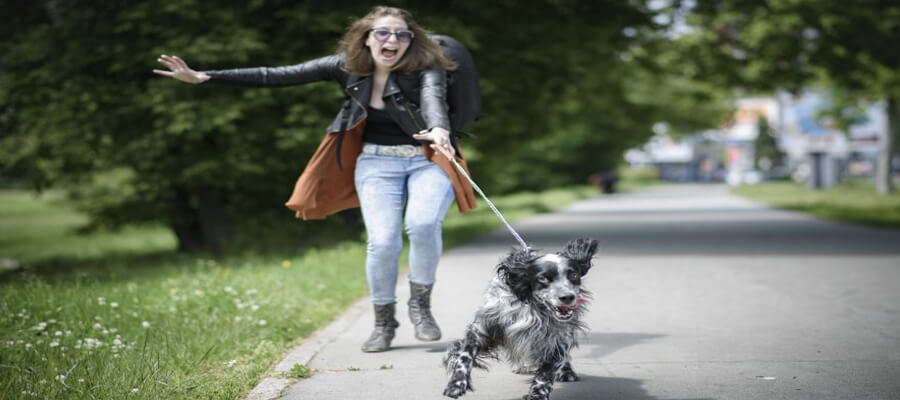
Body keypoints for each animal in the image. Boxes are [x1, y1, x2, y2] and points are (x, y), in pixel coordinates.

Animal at [442, 238, 596, 400]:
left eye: (573, 275)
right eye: (543, 277)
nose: (567, 297)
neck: (533, 308)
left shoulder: (557, 339)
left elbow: (546, 372)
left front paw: (538, 394)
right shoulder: (483, 328)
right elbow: (464, 357)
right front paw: (456, 384)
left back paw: (566, 371)